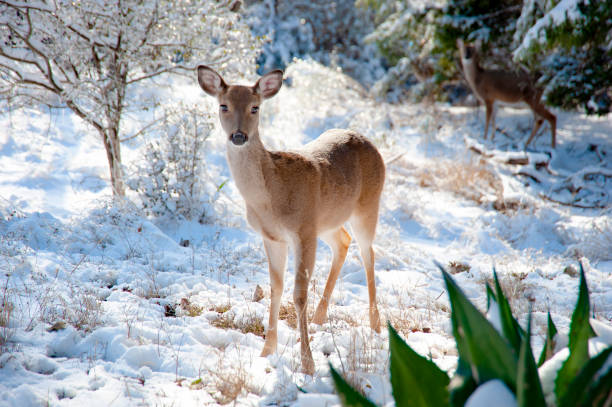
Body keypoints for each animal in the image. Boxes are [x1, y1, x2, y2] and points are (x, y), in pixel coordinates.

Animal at [196, 65, 384, 374]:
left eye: (255, 107)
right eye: (223, 106)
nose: (238, 136)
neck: (271, 195)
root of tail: (369, 142)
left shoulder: (303, 230)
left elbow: (298, 294)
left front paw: (308, 363)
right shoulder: (274, 236)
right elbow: (276, 287)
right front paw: (266, 351)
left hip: (368, 205)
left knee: (368, 254)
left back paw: (376, 325)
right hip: (328, 221)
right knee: (343, 241)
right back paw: (320, 317)